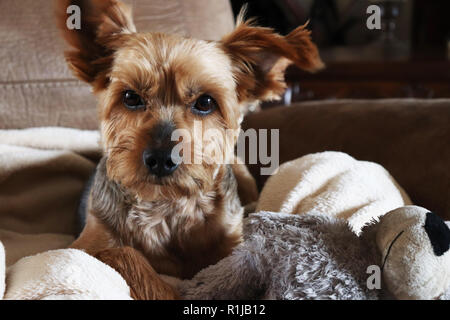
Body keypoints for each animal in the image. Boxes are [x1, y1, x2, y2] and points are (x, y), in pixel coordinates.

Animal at [57, 0, 324, 300]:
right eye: (130, 97)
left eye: (206, 102)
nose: (161, 158)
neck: (167, 206)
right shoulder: (84, 244)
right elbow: (123, 253)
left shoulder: (231, 241)